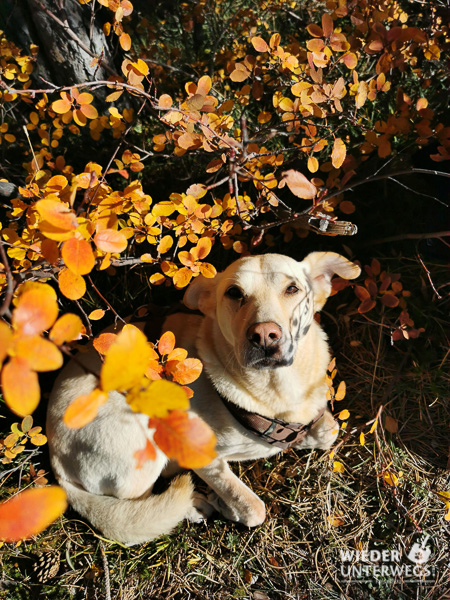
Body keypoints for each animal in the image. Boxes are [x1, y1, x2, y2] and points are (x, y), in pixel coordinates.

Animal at [47, 251, 360, 548]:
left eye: (292, 289)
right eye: (234, 293)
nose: (263, 335)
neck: (275, 390)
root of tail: (56, 461)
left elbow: (329, 430)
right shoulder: (201, 453)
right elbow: (253, 508)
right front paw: (230, 506)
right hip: (140, 440)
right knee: (133, 518)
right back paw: (190, 505)